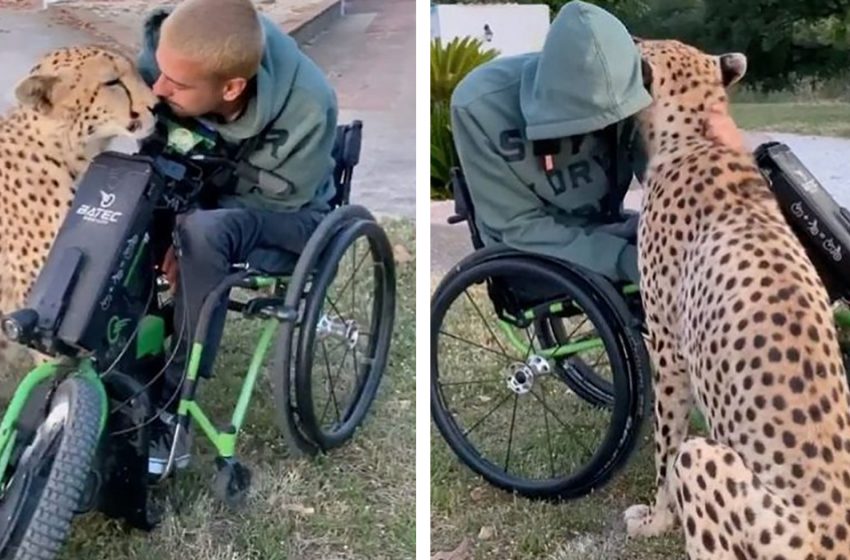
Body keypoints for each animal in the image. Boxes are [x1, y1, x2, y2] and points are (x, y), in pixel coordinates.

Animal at [620, 37, 848, 556]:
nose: (630, 40)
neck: (699, 131)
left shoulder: (668, 351)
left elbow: (666, 445)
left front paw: (656, 519)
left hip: (708, 463)